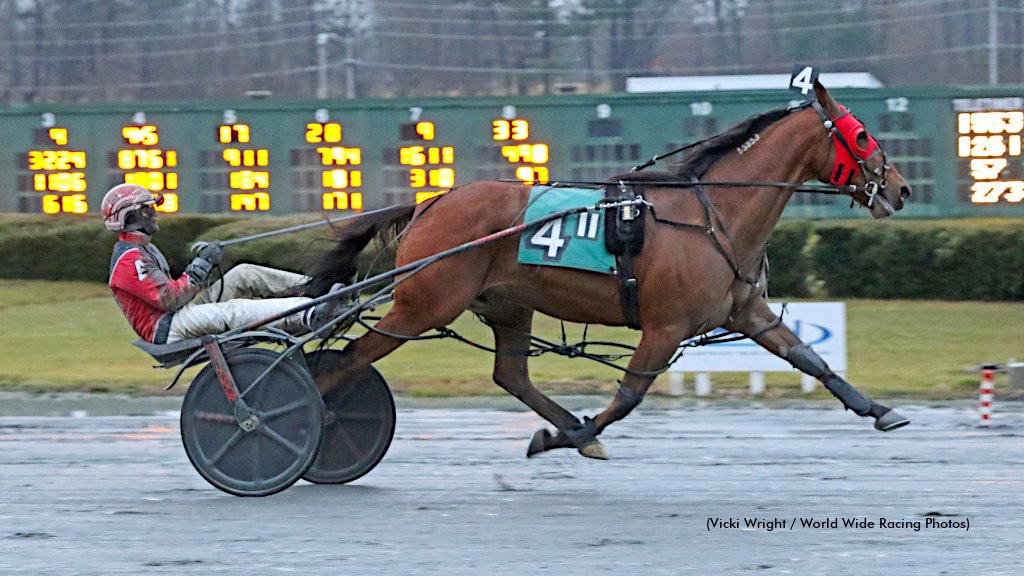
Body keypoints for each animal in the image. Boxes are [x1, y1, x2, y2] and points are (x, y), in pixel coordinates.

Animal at [303, 79, 913, 457]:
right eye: (862, 135)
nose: (901, 189)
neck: (713, 213)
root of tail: (431, 202)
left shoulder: (744, 311)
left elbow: (808, 357)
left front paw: (881, 410)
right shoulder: (666, 326)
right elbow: (628, 398)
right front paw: (565, 438)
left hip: (506, 304)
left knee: (511, 375)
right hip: (423, 304)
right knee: (345, 361)